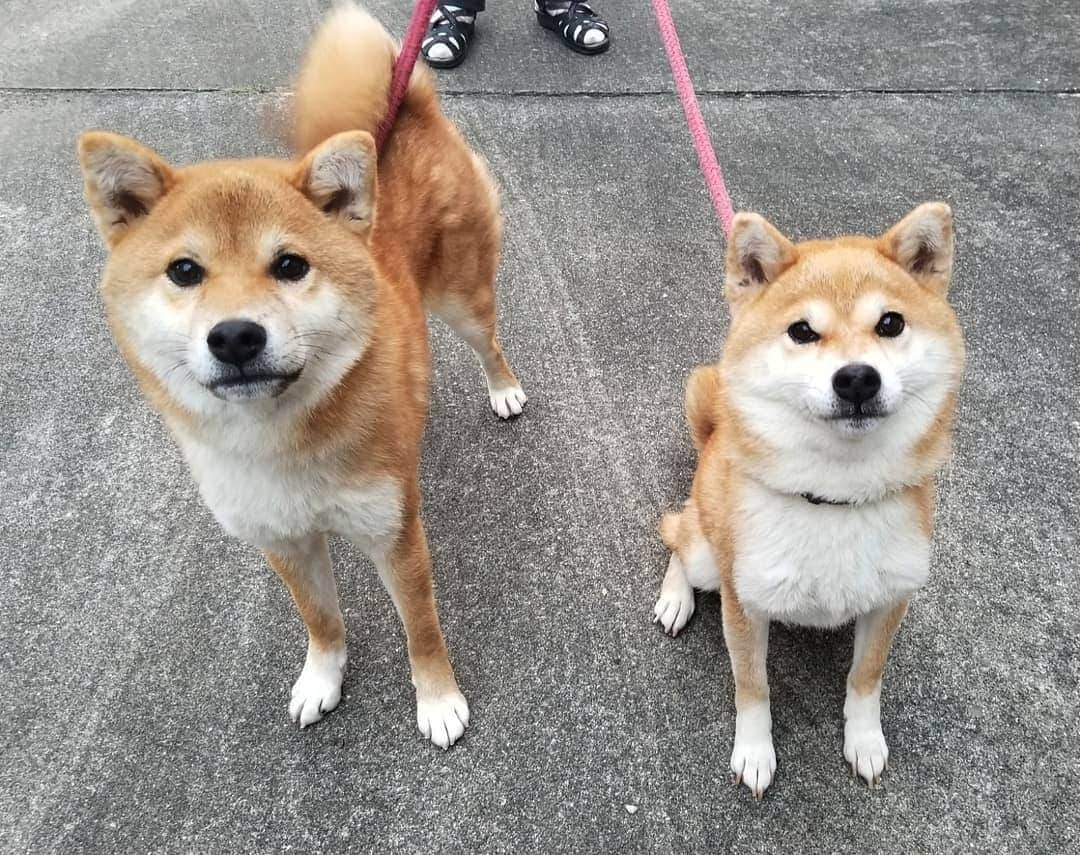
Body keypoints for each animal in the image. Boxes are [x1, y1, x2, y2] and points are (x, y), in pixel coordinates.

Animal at [76, 3, 522, 742]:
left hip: (464, 298)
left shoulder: (394, 535)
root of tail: (403, 114)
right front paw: (322, 679)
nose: (234, 336)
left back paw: (505, 389)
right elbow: (321, 620)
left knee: (489, 343)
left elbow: (421, 629)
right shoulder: (282, 540)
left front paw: (437, 699)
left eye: (290, 265)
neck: (281, 440)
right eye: (184, 271)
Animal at [652, 205, 967, 794]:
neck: (835, 499)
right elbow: (752, 687)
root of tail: (715, 437)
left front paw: (864, 741)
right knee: (677, 537)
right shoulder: (744, 603)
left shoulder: (891, 599)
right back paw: (675, 598)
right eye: (802, 331)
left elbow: (866, 677)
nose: (858, 378)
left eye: (890, 323)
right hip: (709, 554)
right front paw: (754, 752)